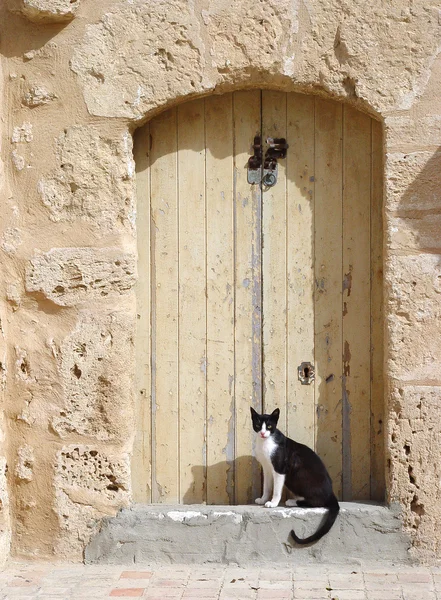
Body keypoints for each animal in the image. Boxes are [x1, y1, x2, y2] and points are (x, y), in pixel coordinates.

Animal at [249, 408, 338, 544]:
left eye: (269, 426)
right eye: (258, 425)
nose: (263, 433)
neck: (265, 442)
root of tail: (331, 492)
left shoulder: (280, 469)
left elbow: (276, 489)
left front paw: (273, 503)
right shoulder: (267, 468)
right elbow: (266, 487)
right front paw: (263, 499)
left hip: (301, 473)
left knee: (318, 502)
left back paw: (292, 501)